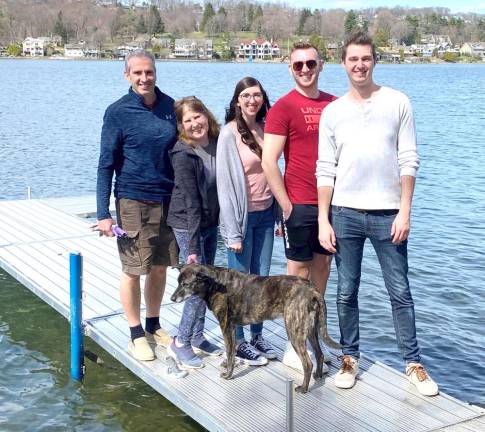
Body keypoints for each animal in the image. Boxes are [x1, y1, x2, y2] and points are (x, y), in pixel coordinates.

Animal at [171, 264, 340, 392]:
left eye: (185, 284)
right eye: (178, 282)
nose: (172, 298)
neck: (214, 283)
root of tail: (313, 290)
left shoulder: (226, 326)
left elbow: (230, 352)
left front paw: (228, 374)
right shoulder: (232, 328)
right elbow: (231, 352)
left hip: (295, 332)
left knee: (308, 363)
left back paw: (304, 388)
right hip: (311, 331)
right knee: (319, 354)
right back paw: (318, 376)